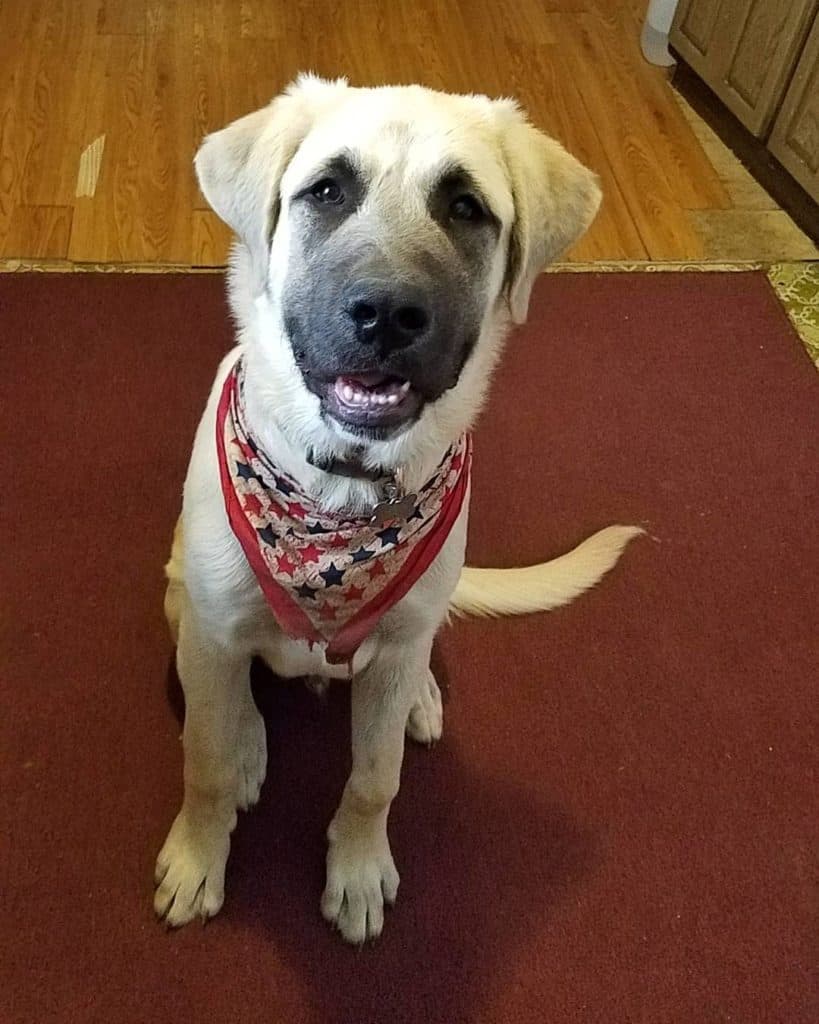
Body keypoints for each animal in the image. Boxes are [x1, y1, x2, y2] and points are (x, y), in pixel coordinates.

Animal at [156, 75, 642, 942]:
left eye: (465, 207)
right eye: (326, 190)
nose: (386, 313)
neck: (341, 494)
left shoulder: (395, 656)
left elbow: (373, 779)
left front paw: (356, 871)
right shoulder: (212, 627)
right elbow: (203, 760)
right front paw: (197, 855)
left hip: (414, 623)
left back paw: (416, 695)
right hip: (183, 594)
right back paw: (248, 738)